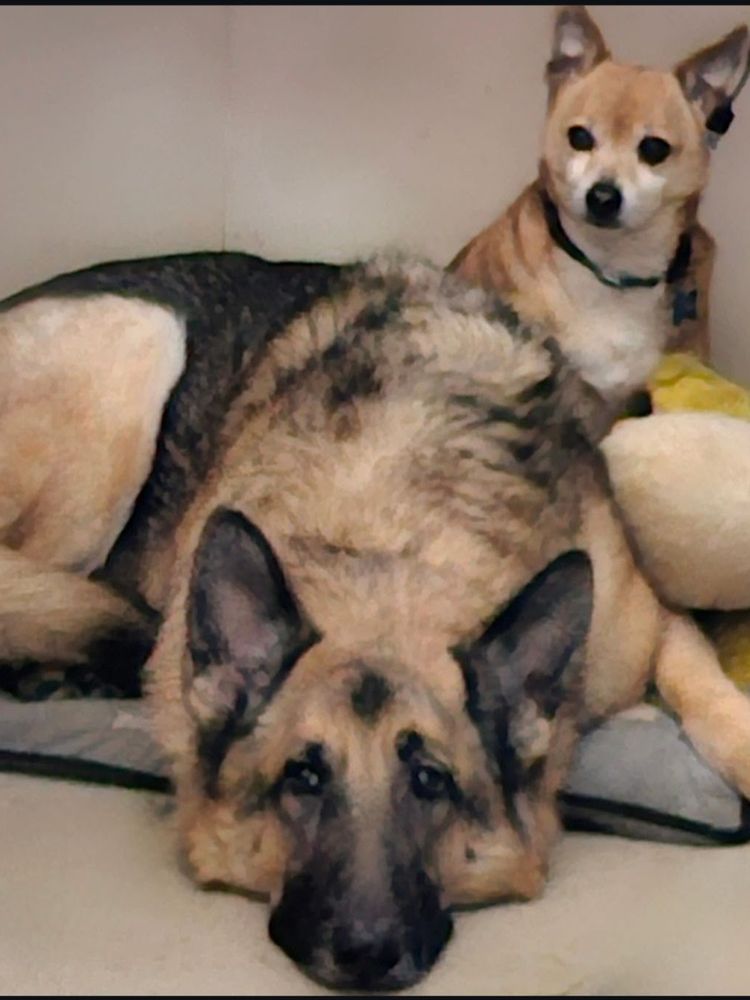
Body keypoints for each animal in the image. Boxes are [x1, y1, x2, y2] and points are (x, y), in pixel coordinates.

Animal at [2, 251, 750, 991]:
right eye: (302, 779)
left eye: (430, 782)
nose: (364, 948)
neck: (392, 544)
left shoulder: (649, 619)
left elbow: (703, 685)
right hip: (137, 345)